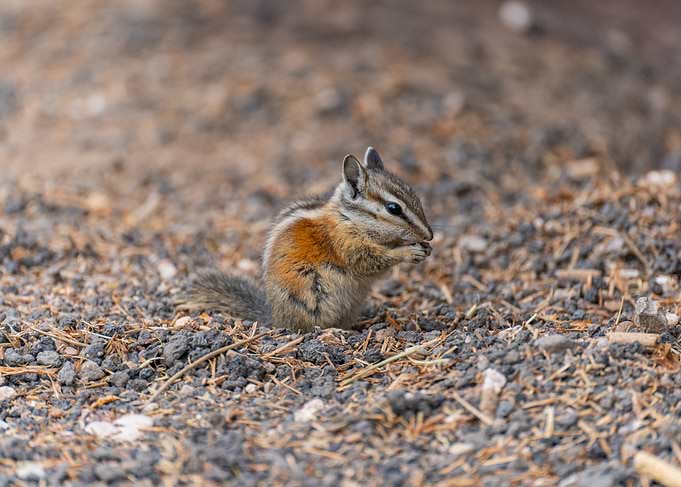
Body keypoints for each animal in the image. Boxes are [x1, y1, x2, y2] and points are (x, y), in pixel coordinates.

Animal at [178, 147, 433, 332]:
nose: (430, 235)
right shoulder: (344, 241)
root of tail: (276, 317)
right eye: (393, 208)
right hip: (309, 295)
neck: (349, 218)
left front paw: (425, 248)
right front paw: (409, 252)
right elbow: (369, 260)